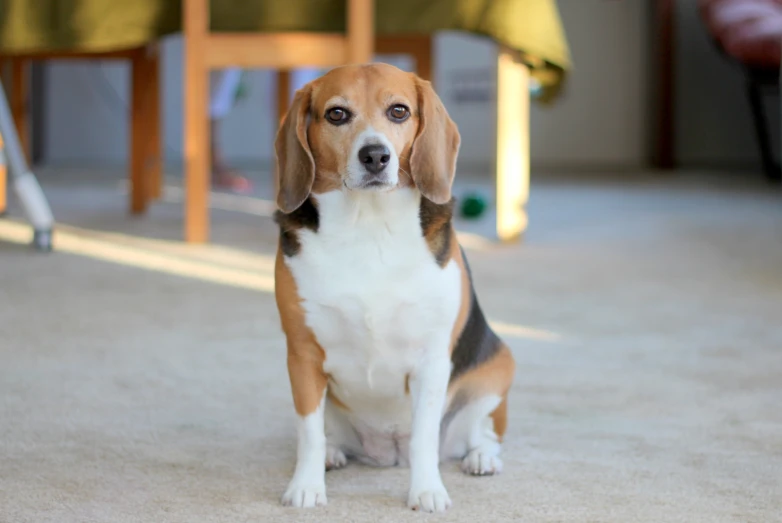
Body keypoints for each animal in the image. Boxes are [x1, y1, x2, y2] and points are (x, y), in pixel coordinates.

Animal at [272, 60, 516, 512]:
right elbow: (308, 433)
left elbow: (424, 437)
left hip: (498, 370)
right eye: (337, 114)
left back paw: (481, 458)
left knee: (482, 431)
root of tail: (388, 453)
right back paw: (334, 453)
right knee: (327, 434)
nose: (375, 155)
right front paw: (306, 487)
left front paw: (427, 491)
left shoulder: (432, 360)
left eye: (399, 111)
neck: (368, 227)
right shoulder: (302, 354)